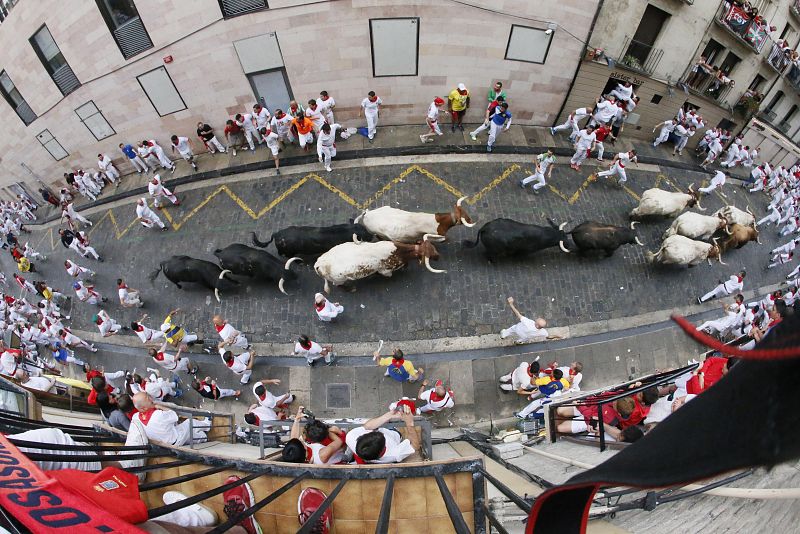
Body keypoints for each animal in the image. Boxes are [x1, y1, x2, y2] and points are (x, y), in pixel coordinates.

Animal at [316, 234, 446, 294]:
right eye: (430, 254)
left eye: (433, 247)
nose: (439, 256)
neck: (399, 251)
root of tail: (320, 264)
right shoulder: (386, 271)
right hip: (339, 279)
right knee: (338, 285)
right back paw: (351, 289)